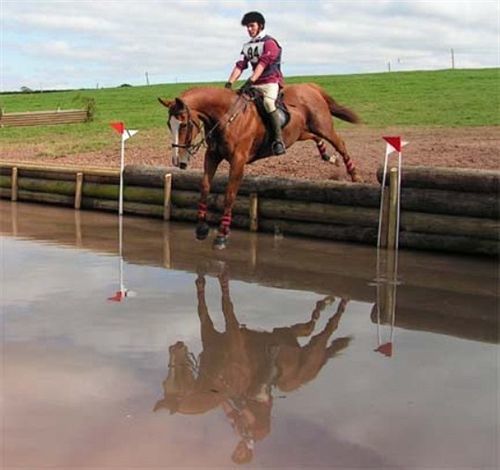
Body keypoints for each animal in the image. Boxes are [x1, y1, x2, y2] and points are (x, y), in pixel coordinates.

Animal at [154, 268, 350, 462]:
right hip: (284, 337)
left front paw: (221, 278)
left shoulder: (232, 333)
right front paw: (202, 281)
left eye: (172, 381)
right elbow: (203, 309)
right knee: (308, 328)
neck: (218, 377)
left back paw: (339, 305)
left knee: (327, 332)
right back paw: (326, 304)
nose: (175, 346)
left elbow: (226, 305)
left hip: (301, 363)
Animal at [159, 83, 360, 250]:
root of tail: (310, 87)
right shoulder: (213, 156)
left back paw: (354, 175)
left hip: (323, 126)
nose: (177, 161)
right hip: (299, 132)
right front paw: (201, 228)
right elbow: (204, 187)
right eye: (169, 124)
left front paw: (222, 235)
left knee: (340, 143)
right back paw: (329, 157)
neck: (225, 117)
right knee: (314, 137)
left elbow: (229, 195)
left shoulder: (238, 161)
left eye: (184, 124)